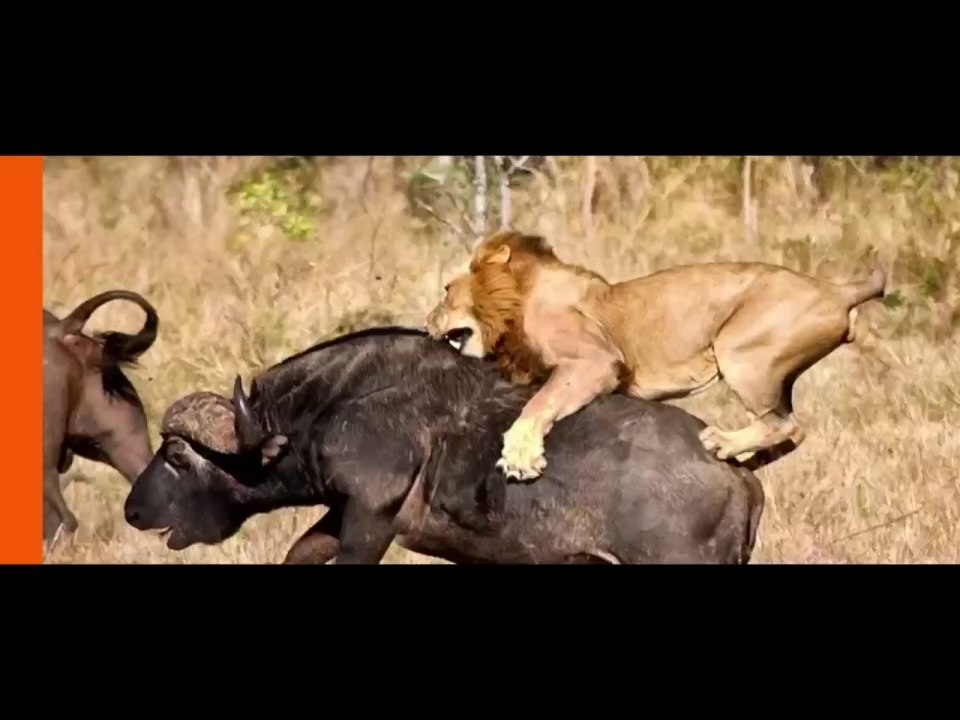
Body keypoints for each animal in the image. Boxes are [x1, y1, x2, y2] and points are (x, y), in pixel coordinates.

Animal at [123, 327, 765, 564]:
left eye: (176, 456)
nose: (132, 509)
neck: (332, 405)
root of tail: (738, 474)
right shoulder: (341, 514)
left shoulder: (369, 523)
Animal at [425, 230, 887, 481]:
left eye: (446, 291)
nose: (426, 320)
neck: (515, 302)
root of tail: (837, 289)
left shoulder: (597, 360)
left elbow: (540, 403)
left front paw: (520, 456)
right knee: (793, 430)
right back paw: (743, 458)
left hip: (740, 352)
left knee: (785, 424)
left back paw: (722, 442)